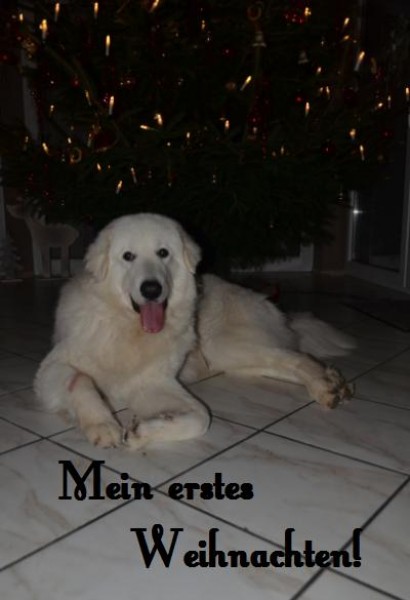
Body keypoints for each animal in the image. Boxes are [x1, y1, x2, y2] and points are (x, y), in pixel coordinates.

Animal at [35, 213, 354, 449]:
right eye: (128, 256)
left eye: (163, 253)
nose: (151, 289)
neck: (127, 328)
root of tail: (270, 304)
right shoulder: (50, 368)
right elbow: (81, 381)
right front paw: (103, 424)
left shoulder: (155, 382)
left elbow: (200, 418)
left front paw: (140, 432)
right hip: (231, 358)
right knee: (284, 361)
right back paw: (331, 383)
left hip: (223, 344)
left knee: (295, 357)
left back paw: (326, 383)